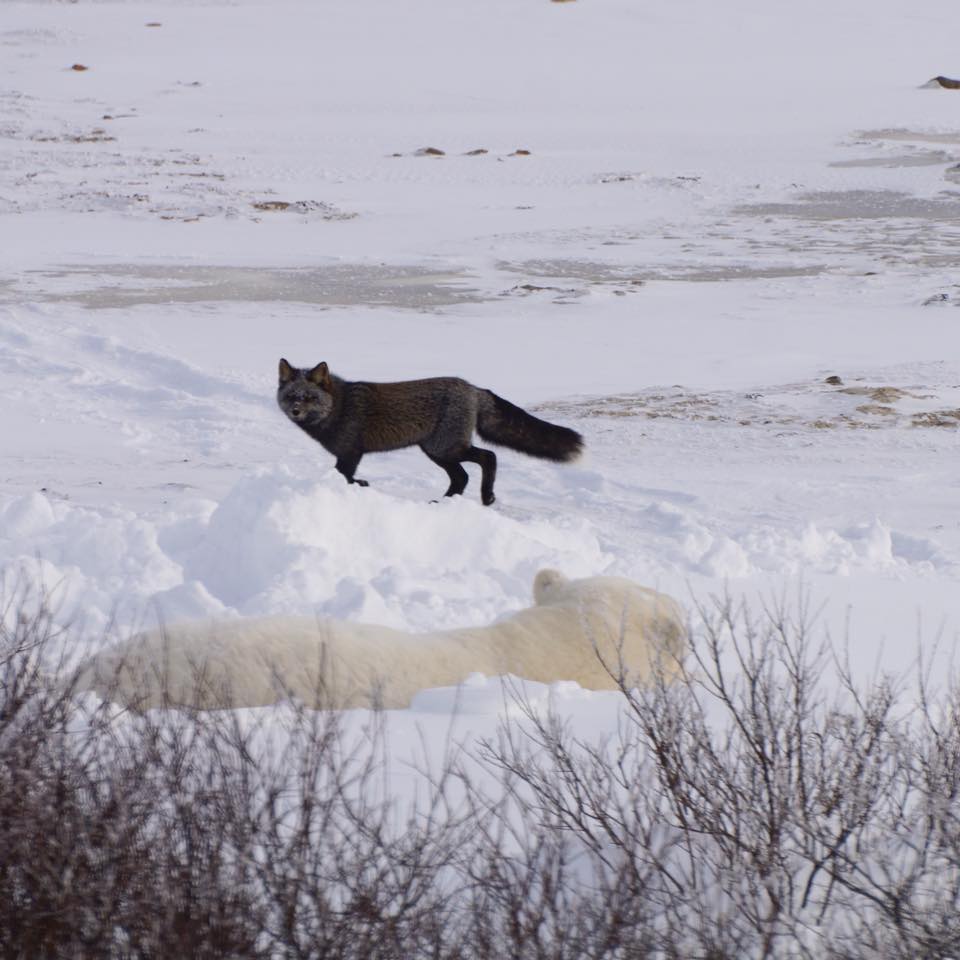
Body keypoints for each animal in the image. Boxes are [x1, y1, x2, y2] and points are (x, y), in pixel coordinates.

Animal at [277, 359, 583, 506]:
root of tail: (473, 388)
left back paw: (486, 497)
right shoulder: (349, 454)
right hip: (438, 452)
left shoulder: (351, 452)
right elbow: (347, 477)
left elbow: (346, 477)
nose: (295, 411)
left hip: (443, 448)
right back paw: (445, 503)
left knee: (488, 457)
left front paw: (358, 486)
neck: (339, 408)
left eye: (309, 398)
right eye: (292, 396)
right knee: (462, 477)